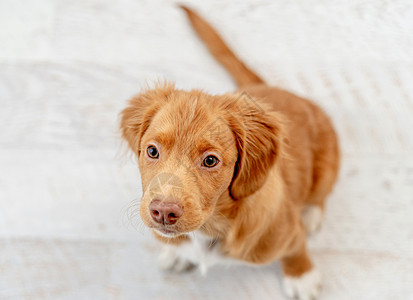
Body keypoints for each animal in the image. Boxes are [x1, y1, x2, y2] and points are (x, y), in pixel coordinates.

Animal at [119, 5, 338, 298]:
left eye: (210, 160)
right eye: (152, 151)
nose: (163, 212)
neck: (212, 226)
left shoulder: (286, 232)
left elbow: (296, 247)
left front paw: (301, 276)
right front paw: (177, 250)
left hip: (328, 162)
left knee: (320, 194)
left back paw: (311, 213)